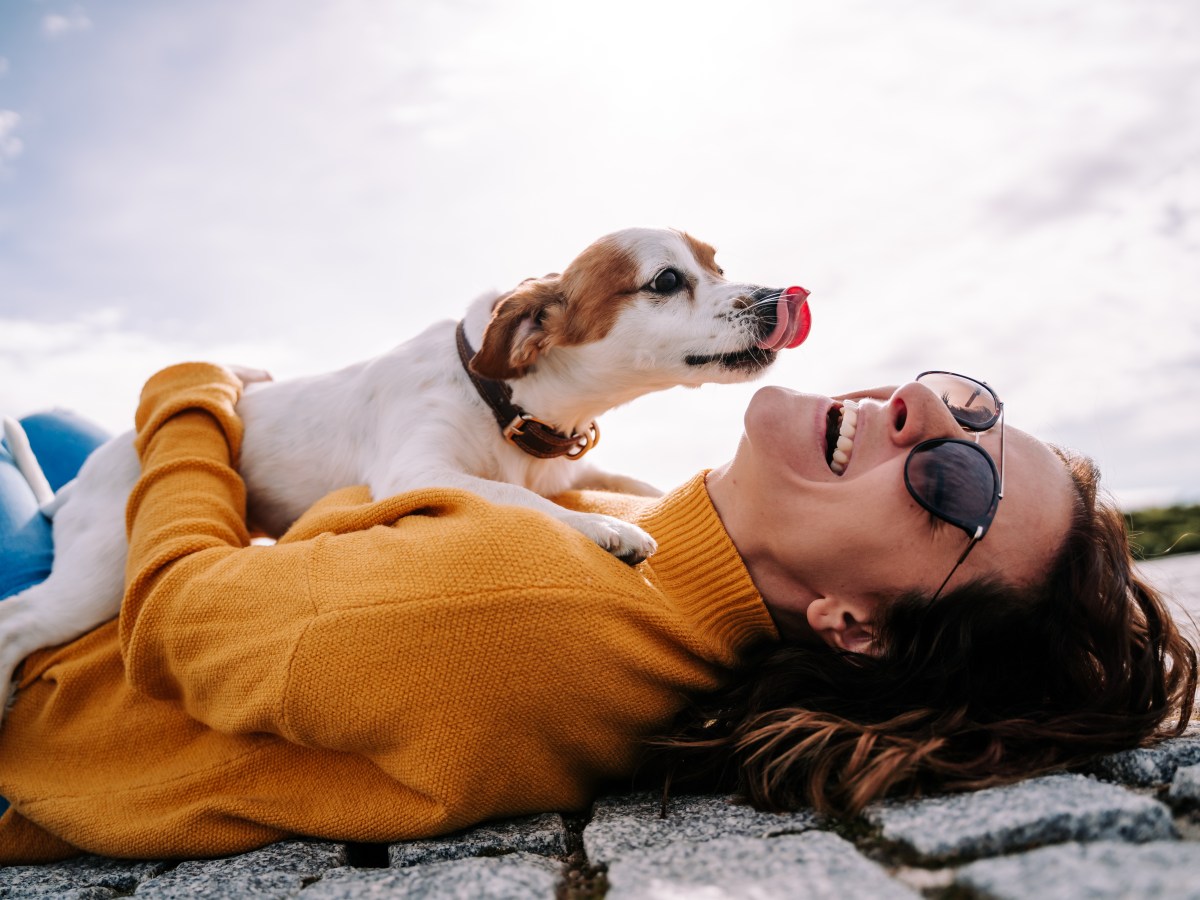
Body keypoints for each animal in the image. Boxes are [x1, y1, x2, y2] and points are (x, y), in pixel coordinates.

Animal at [0, 226, 811, 710]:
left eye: (719, 266)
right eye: (666, 281)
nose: (779, 296)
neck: (506, 403)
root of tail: (84, 477)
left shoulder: (565, 469)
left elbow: (626, 486)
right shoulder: (419, 471)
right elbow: (520, 502)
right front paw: (608, 533)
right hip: (102, 573)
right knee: (18, 620)